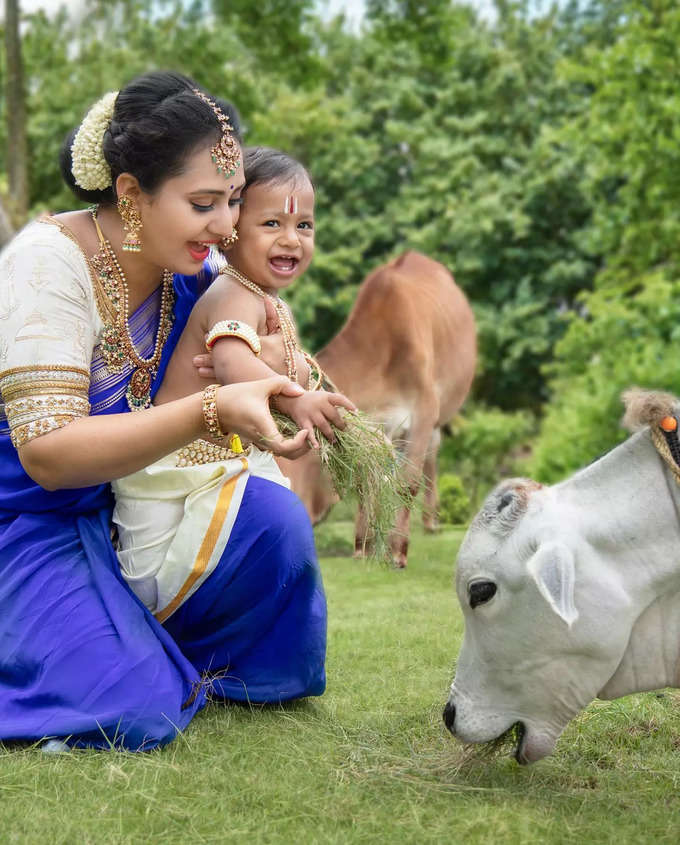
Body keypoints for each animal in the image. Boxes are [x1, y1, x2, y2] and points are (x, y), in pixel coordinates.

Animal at [278, 251, 476, 568]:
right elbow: (366, 480)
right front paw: (364, 546)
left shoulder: (423, 413)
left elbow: (407, 482)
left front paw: (397, 551)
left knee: (432, 455)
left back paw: (431, 522)